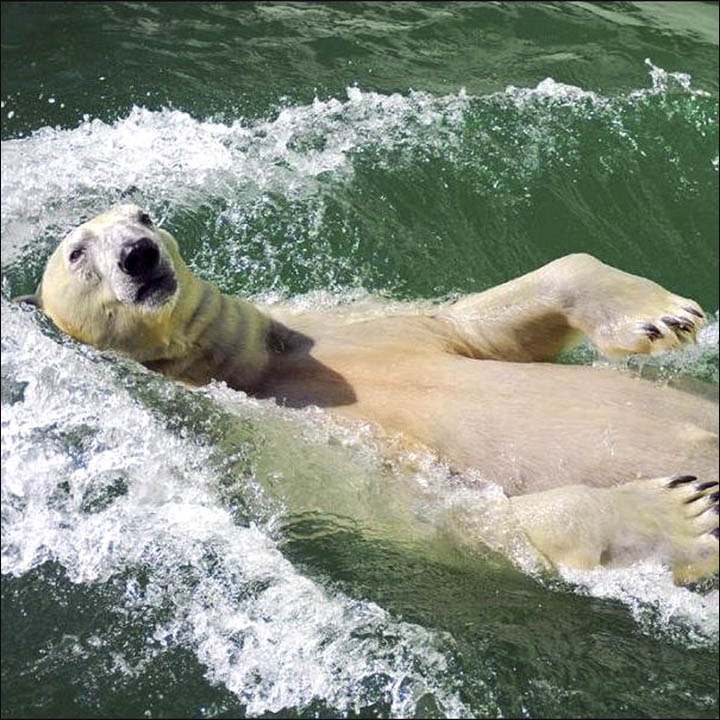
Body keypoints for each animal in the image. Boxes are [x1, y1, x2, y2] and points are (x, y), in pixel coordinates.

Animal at [15, 205, 716, 584]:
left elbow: (486, 323)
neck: (253, 368)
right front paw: (681, 512)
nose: (140, 254)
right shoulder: (294, 450)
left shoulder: (359, 327)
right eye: (77, 253)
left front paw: (662, 315)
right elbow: (443, 514)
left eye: (143, 216)